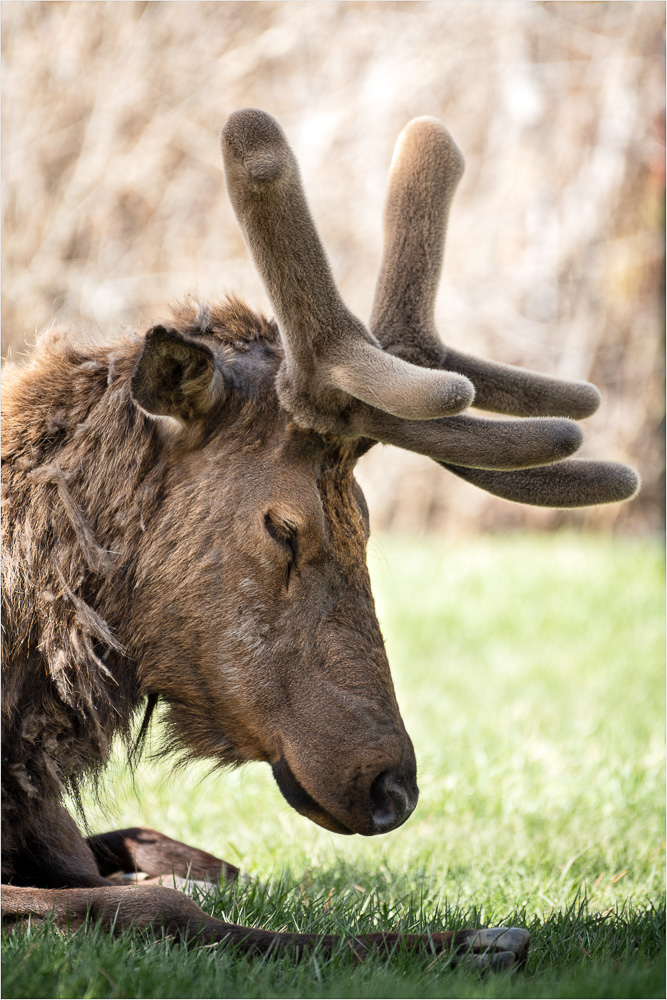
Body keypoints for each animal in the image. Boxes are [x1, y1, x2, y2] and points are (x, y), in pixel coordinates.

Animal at [0, 109, 640, 968]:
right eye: (283, 524)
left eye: (365, 520)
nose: (391, 787)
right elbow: (159, 907)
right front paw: (474, 939)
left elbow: (187, 862)